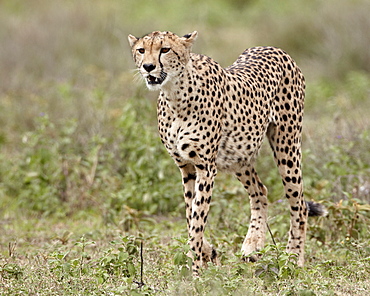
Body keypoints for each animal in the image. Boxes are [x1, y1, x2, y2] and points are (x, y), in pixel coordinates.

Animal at [128, 30, 326, 276]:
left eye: (165, 49)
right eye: (141, 50)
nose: (148, 66)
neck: (175, 95)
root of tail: (273, 48)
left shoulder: (205, 168)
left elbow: (197, 221)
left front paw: (196, 271)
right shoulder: (186, 167)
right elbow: (190, 215)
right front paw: (207, 252)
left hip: (286, 145)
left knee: (298, 204)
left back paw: (293, 258)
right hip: (238, 156)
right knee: (260, 190)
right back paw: (252, 245)